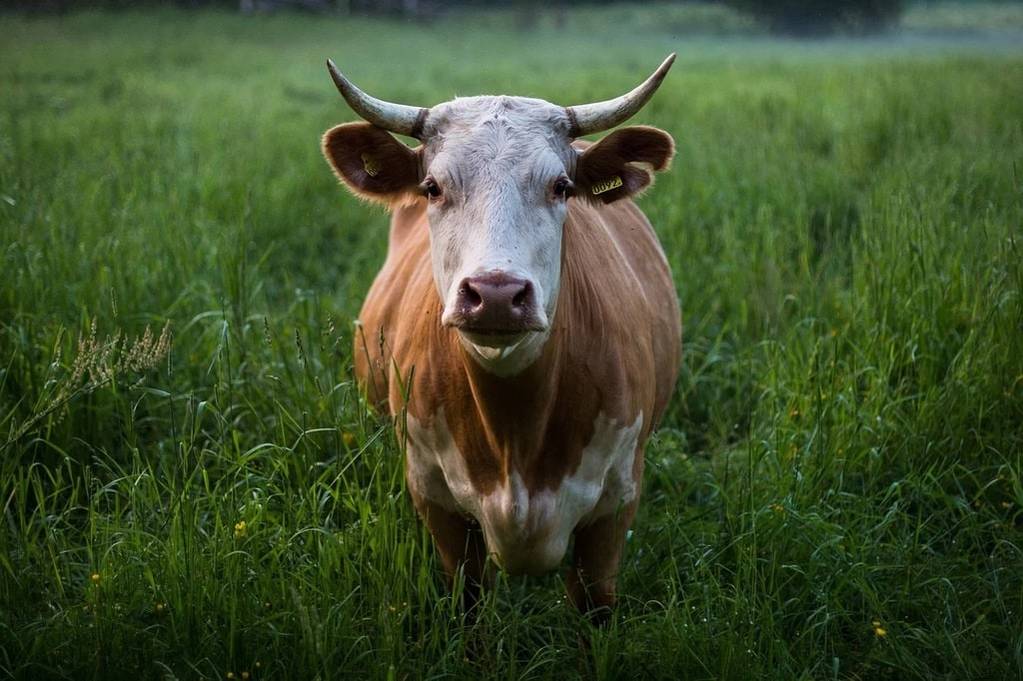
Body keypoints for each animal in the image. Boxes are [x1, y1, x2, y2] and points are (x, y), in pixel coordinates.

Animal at [323, 57, 683, 621]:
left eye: (561, 186)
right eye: (432, 187)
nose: (495, 294)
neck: (515, 432)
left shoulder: (615, 508)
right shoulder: (437, 503)